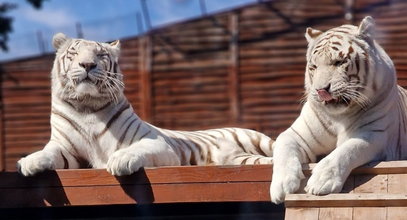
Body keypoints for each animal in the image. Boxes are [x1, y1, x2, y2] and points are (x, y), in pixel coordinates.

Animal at [17, 33, 276, 177]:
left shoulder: (158, 144)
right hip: (239, 159)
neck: (87, 107)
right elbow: (48, 152)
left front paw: (120, 160)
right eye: (74, 53)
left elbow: (137, 149)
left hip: (259, 141)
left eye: (100, 55)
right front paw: (28, 162)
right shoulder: (65, 148)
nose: (88, 64)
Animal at [270, 16, 407, 204]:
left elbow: (347, 151)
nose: (321, 90)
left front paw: (321, 181)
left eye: (339, 62)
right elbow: (283, 147)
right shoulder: (297, 134)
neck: (338, 117)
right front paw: (281, 185)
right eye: (313, 67)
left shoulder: (375, 134)